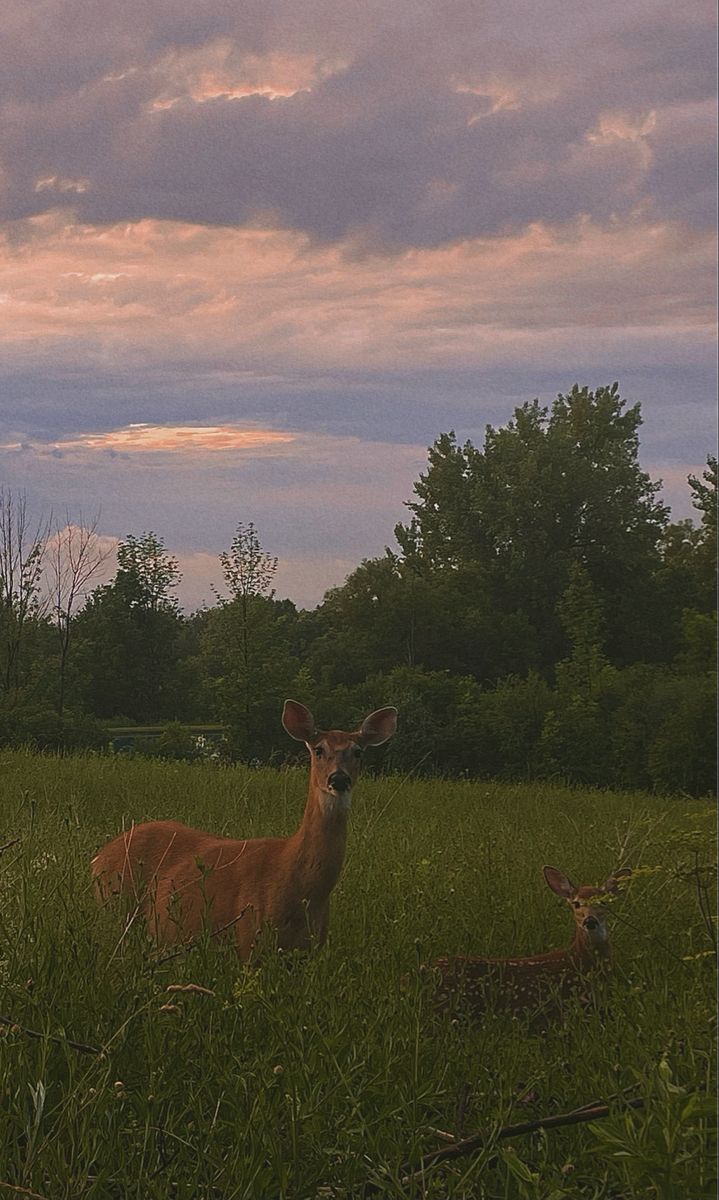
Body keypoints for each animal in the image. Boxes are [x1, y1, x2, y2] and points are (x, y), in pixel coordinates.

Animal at [90, 700, 398, 960]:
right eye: (319, 749)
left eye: (358, 751)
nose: (339, 779)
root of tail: (99, 856)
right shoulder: (249, 940)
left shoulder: (309, 953)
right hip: (115, 909)